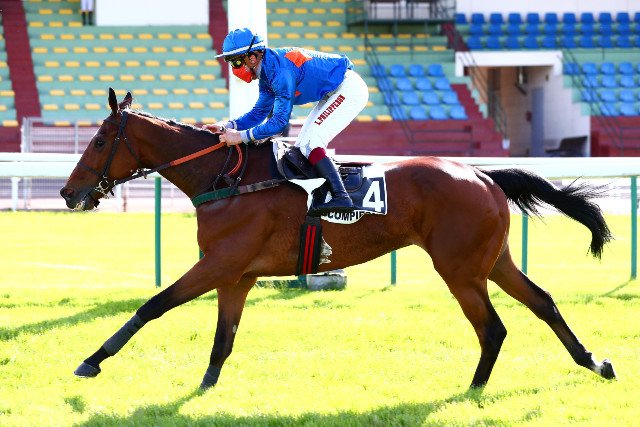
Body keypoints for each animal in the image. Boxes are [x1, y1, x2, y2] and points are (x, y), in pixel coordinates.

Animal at [60, 89, 616, 390]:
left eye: (99, 140)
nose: (68, 192)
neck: (228, 178)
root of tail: (482, 174)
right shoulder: (237, 275)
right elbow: (223, 338)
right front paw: (205, 387)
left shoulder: (219, 264)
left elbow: (154, 305)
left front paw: (92, 360)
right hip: (492, 260)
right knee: (542, 302)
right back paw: (594, 361)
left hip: (460, 269)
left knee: (493, 328)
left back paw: (473, 388)